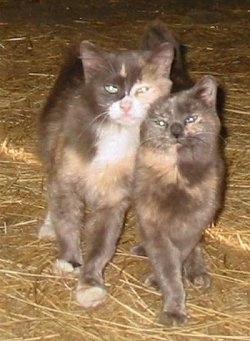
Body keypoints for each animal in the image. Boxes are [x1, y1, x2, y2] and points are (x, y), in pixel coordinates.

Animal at [37, 39, 174, 308]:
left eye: (143, 89)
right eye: (111, 88)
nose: (126, 104)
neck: (117, 132)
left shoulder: (114, 198)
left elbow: (102, 244)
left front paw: (90, 283)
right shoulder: (66, 178)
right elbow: (66, 222)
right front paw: (69, 260)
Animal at [134, 75, 224, 326]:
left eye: (190, 118)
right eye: (161, 122)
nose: (176, 131)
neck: (177, 175)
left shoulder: (193, 224)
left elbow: (180, 255)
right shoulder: (153, 225)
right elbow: (166, 265)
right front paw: (173, 309)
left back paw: (198, 273)